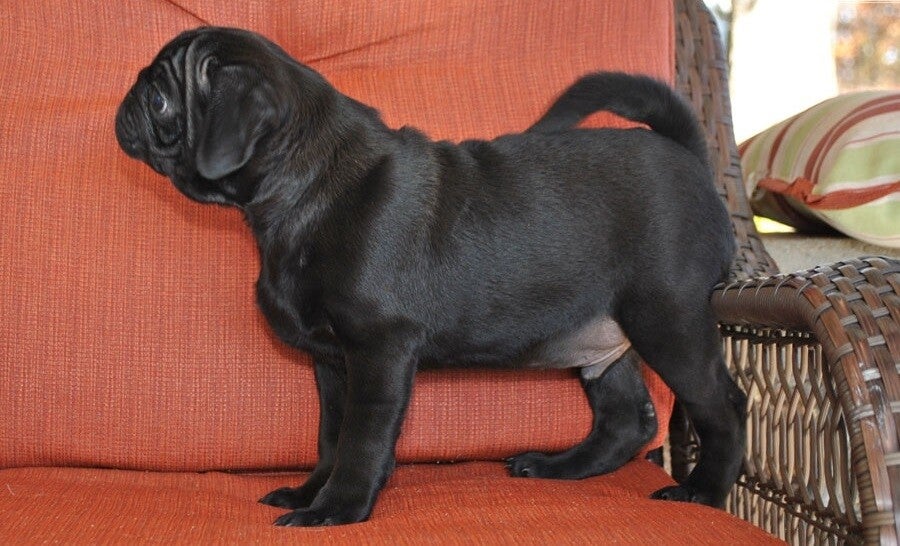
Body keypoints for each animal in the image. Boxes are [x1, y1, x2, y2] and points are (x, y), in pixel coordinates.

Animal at [116, 27, 746, 527]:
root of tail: (690, 157)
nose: (127, 101)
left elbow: (362, 440)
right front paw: (311, 491)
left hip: (666, 319)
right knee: (626, 420)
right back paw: (558, 467)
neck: (306, 184)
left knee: (723, 406)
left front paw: (337, 510)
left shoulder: (379, 351)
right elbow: (330, 438)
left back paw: (703, 492)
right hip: (597, 335)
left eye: (161, 98)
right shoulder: (332, 364)